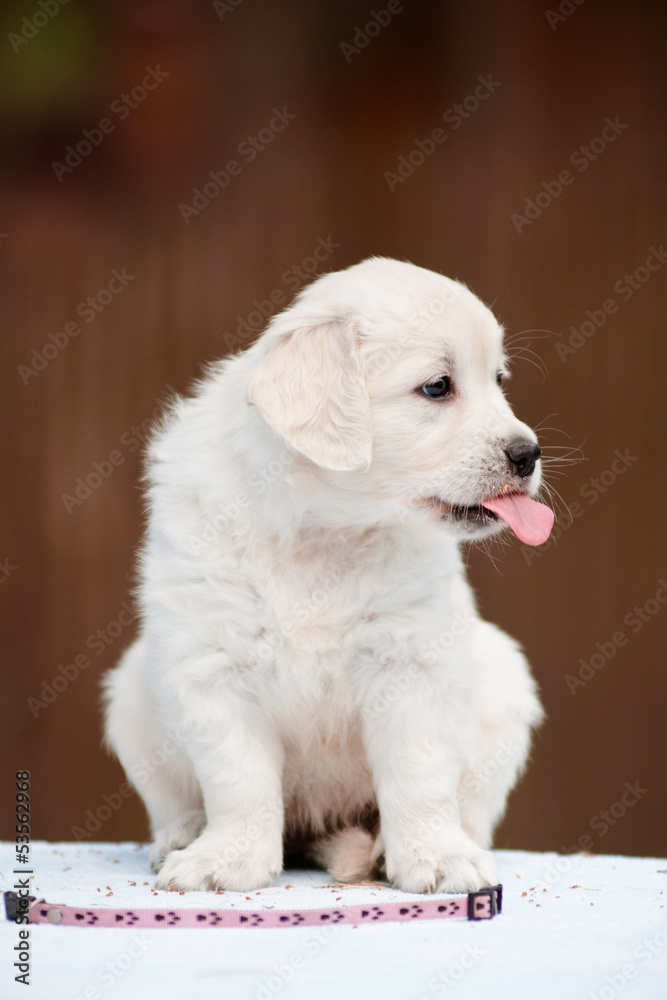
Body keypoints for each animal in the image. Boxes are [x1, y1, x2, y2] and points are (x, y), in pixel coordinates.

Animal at [103, 256, 552, 892]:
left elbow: (419, 777)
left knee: (469, 808)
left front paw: (436, 858)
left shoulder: (413, 661)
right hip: (131, 694)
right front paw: (229, 859)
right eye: (437, 386)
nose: (528, 454)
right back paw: (183, 834)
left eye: (498, 379)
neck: (326, 533)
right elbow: (238, 780)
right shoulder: (210, 668)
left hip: (504, 683)